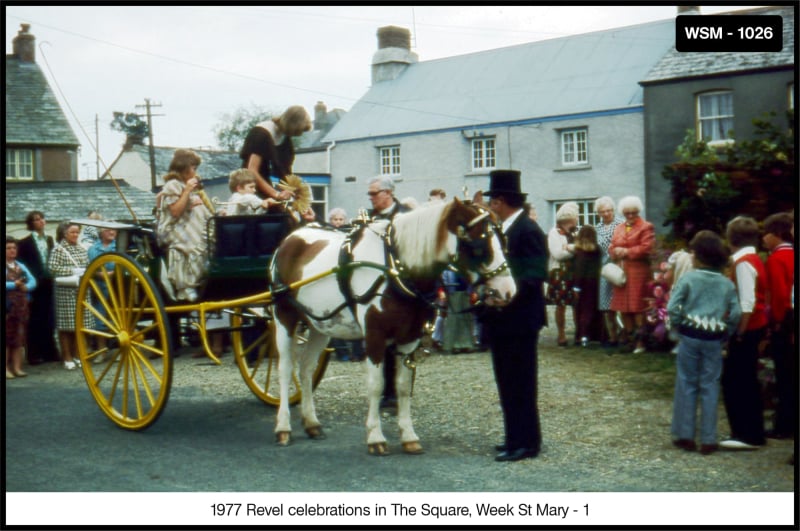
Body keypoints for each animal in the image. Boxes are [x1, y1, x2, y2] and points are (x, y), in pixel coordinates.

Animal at [272, 197, 516, 456]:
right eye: (479, 245)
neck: (394, 267)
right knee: (286, 369)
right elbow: (376, 385)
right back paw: (283, 427)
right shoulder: (374, 337)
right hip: (284, 317)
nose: (507, 291)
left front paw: (408, 436)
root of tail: (292, 236)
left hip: (321, 323)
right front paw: (375, 437)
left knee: (306, 369)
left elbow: (402, 386)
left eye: (503, 240)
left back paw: (311, 423)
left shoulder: (409, 339)